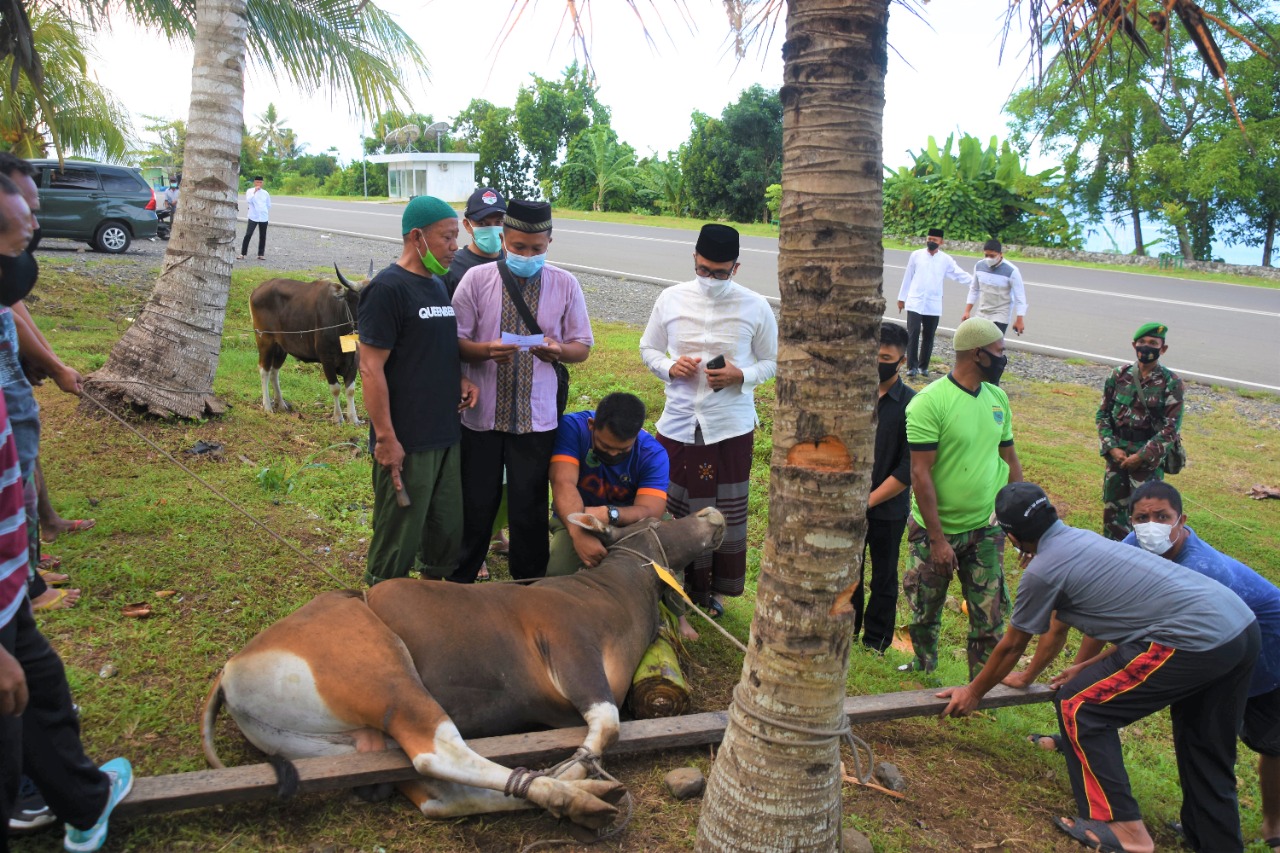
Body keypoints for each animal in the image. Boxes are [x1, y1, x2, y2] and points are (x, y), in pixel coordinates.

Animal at [249, 262, 368, 425]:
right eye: (356, 299)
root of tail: (257, 290)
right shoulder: (326, 359)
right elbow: (335, 388)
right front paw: (338, 417)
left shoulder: (354, 359)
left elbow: (350, 389)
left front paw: (354, 418)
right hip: (265, 340)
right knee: (264, 370)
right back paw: (267, 406)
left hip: (281, 347)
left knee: (274, 371)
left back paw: (281, 404)